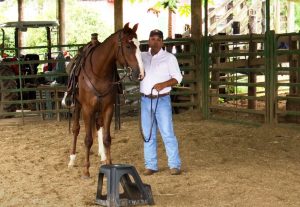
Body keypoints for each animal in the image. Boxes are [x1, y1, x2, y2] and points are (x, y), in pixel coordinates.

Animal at [66, 23, 145, 178]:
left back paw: (102, 155)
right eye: (128, 46)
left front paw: (109, 163)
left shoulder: (108, 107)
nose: (140, 73)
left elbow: (107, 138)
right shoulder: (87, 109)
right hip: (78, 105)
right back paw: (72, 159)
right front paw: (86, 170)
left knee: (98, 125)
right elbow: (88, 139)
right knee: (76, 129)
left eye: (139, 45)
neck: (99, 72)